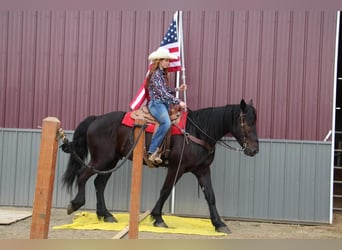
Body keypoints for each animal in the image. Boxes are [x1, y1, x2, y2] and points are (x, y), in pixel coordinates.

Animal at [62, 98, 260, 233]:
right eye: (248, 123)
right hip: (102, 159)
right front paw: (158, 218)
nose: (254, 150)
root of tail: (96, 119)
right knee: (83, 175)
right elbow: (165, 191)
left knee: (99, 184)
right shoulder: (176, 168)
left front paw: (219, 224)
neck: (197, 132)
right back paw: (76, 204)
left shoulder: (202, 170)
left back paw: (105, 215)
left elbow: (210, 196)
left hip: (111, 161)